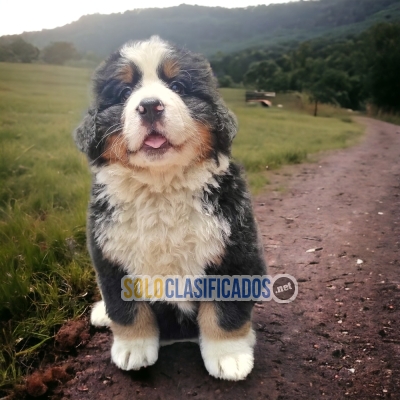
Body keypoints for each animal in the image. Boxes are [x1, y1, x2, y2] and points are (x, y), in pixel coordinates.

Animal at [73, 36, 268, 380]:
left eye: (177, 85)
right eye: (124, 92)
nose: (150, 105)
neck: (160, 188)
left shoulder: (236, 252)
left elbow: (225, 313)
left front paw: (229, 356)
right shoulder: (109, 254)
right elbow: (126, 309)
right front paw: (132, 348)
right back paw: (101, 313)